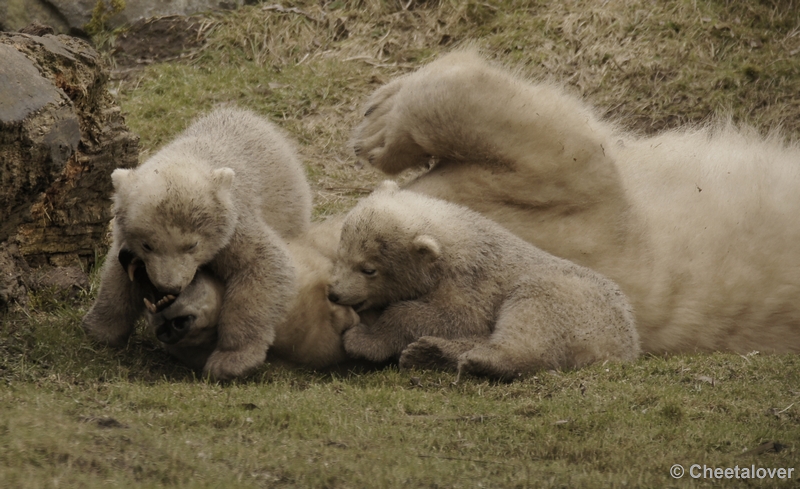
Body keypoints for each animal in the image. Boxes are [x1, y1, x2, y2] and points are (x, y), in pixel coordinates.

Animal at [324, 181, 636, 380]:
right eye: (341, 254)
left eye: (368, 269)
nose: (333, 294)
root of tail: (625, 348)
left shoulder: (471, 281)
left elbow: (457, 317)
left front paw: (365, 339)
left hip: (577, 303)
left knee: (533, 316)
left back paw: (469, 358)